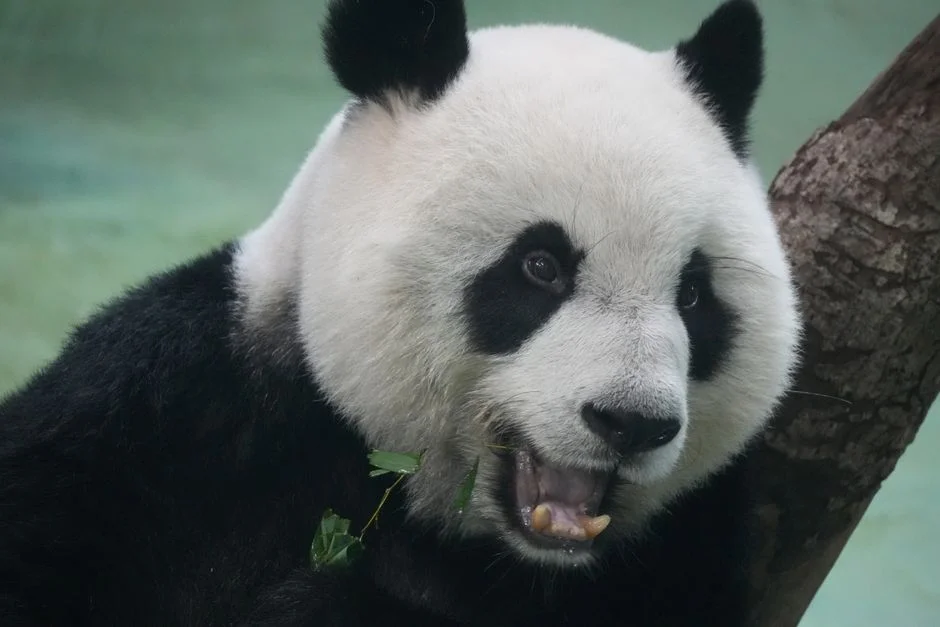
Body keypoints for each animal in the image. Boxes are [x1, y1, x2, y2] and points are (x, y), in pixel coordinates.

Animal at [0, 0, 801, 625]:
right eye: (540, 266)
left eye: (693, 294)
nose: (632, 422)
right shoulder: (173, 411)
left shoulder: (685, 546)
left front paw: (317, 605)